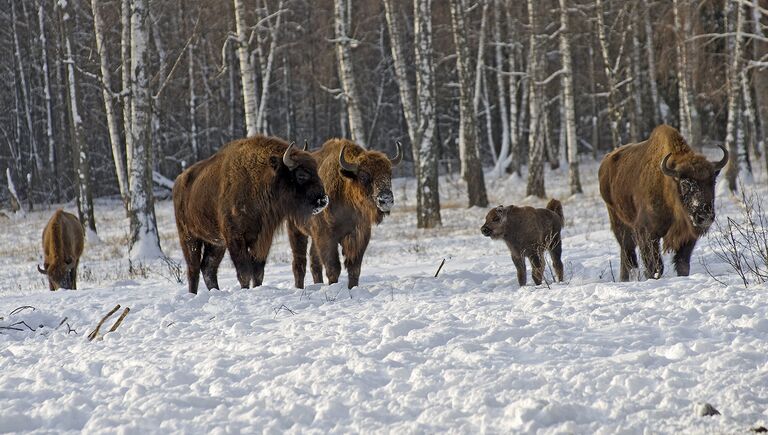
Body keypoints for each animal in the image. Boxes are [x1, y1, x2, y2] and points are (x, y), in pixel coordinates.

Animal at [172, 135, 328, 294]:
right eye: (301, 175)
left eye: (316, 170)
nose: (323, 200)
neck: (260, 180)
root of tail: (179, 181)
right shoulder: (235, 238)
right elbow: (244, 272)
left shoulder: (262, 239)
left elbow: (258, 271)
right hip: (189, 237)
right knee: (194, 269)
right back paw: (193, 293)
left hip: (216, 244)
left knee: (208, 268)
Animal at [286, 139, 402, 290]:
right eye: (363, 176)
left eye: (389, 174)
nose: (386, 199)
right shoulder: (326, 236)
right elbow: (333, 267)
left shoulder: (359, 235)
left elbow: (354, 268)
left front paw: (352, 288)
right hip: (295, 230)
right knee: (299, 263)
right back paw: (299, 287)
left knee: (314, 262)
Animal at [596, 124, 728, 282]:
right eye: (685, 183)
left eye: (713, 181)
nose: (705, 216)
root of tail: (606, 162)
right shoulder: (647, 233)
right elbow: (655, 266)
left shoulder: (688, 235)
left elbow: (683, 263)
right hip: (618, 220)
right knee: (627, 251)